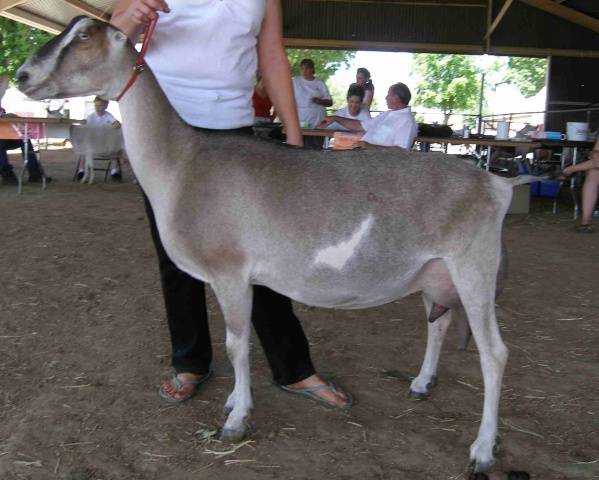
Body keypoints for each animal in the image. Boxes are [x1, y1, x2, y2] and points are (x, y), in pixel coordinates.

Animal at [17, 17, 536, 472]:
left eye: (84, 35)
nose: (22, 76)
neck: (183, 165)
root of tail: (497, 183)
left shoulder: (230, 271)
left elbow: (236, 345)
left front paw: (235, 420)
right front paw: (232, 403)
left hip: (474, 265)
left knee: (494, 353)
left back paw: (482, 450)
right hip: (435, 271)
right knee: (439, 323)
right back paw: (421, 384)